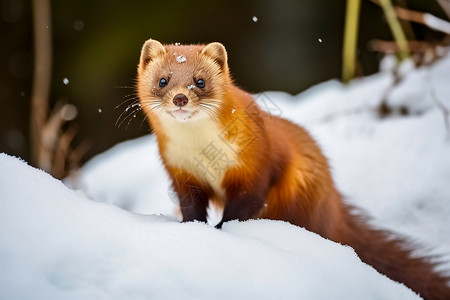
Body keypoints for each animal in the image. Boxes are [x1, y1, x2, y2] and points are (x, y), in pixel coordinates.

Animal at [136, 38, 450, 298]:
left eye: (199, 82)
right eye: (163, 80)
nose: (180, 98)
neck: (202, 150)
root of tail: (333, 205)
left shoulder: (254, 166)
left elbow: (246, 204)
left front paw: (223, 228)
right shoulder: (181, 172)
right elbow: (191, 206)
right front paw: (193, 228)